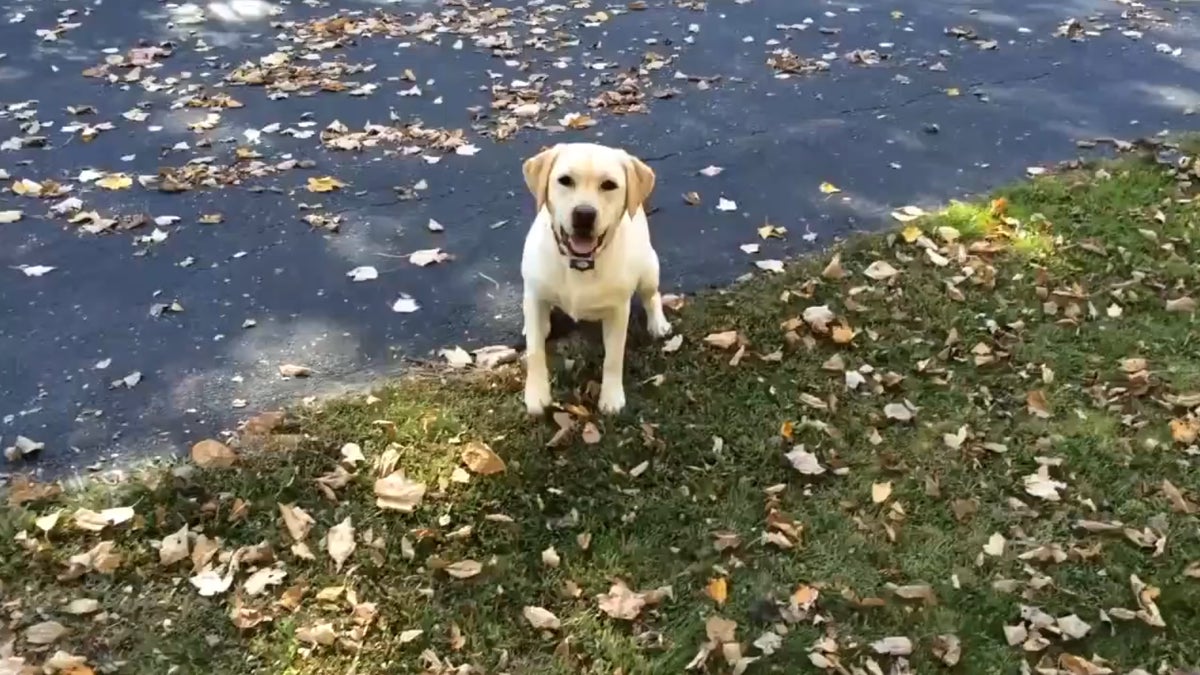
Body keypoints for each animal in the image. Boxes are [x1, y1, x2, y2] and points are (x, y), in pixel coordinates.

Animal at [518, 141, 676, 413]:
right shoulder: (535, 295)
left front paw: (611, 397)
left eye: (609, 185)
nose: (584, 214)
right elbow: (535, 352)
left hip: (649, 269)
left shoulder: (617, 311)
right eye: (565, 180)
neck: (580, 263)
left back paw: (658, 323)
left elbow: (613, 357)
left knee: (652, 296)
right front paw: (536, 394)